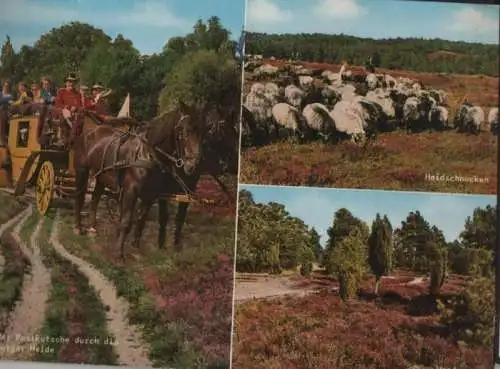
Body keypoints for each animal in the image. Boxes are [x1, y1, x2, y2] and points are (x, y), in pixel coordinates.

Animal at [71, 99, 206, 258]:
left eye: (202, 131)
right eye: (181, 129)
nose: (193, 165)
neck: (147, 153)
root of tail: (89, 132)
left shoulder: (150, 195)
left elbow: (141, 220)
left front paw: (135, 248)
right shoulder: (131, 191)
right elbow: (126, 222)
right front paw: (118, 253)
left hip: (101, 176)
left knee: (95, 198)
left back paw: (92, 229)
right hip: (82, 171)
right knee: (79, 196)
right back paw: (78, 228)